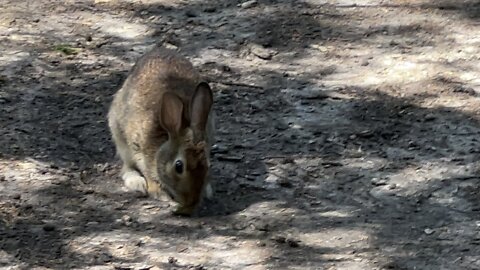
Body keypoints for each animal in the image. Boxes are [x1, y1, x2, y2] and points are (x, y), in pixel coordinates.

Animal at [109, 46, 215, 215]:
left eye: (207, 165)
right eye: (179, 167)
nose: (191, 204)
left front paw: (206, 191)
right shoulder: (138, 148)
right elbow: (148, 173)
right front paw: (160, 194)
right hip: (118, 135)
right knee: (127, 167)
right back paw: (137, 183)